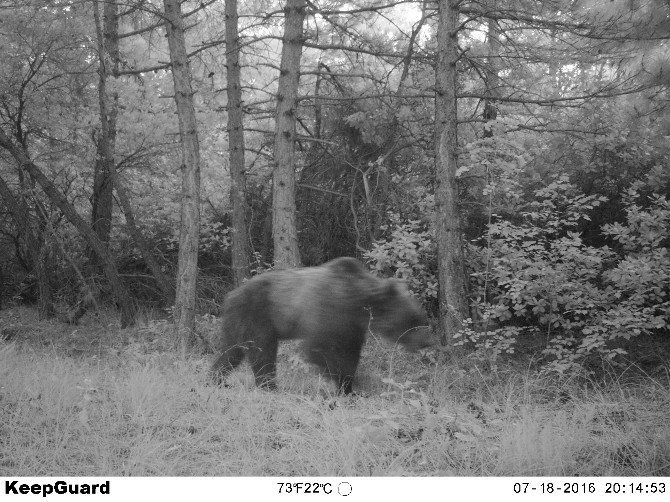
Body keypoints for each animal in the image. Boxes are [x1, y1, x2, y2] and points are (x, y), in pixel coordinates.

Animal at [210, 256, 434, 394]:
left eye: (421, 319)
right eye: (414, 321)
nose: (427, 342)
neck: (358, 301)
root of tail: (230, 296)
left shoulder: (351, 326)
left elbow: (350, 352)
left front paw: (349, 387)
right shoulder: (327, 311)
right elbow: (320, 350)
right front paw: (358, 382)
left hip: (236, 323)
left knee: (231, 351)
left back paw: (217, 379)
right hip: (258, 315)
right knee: (262, 352)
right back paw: (269, 386)